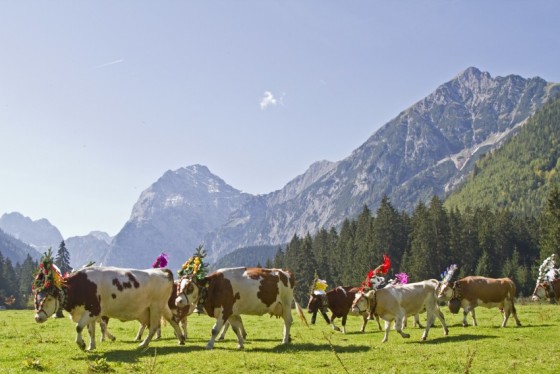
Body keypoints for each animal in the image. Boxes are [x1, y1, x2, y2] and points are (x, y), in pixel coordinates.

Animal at [33, 266, 186, 350]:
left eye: (49, 298)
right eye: (36, 296)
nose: (37, 317)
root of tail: (162, 271)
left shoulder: (93, 310)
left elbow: (79, 327)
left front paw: (81, 344)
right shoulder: (90, 313)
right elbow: (91, 330)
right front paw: (91, 346)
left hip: (155, 306)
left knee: (154, 326)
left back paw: (143, 344)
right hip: (162, 305)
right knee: (173, 319)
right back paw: (181, 339)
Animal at [176, 268, 304, 350]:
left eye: (190, 287)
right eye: (178, 286)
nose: (178, 301)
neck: (214, 287)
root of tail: (285, 272)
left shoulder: (224, 311)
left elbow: (215, 330)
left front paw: (209, 345)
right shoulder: (231, 312)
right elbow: (235, 329)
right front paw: (241, 344)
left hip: (286, 303)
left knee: (288, 321)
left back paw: (284, 340)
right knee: (286, 322)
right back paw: (286, 338)